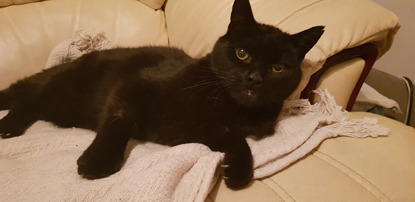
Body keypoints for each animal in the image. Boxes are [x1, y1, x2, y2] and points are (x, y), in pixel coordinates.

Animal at [0, 0, 324, 189]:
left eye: (278, 67)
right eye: (242, 53)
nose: (254, 78)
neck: (224, 103)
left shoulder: (192, 129)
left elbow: (234, 136)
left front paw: (239, 170)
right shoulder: (131, 88)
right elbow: (118, 122)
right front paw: (98, 162)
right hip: (58, 87)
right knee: (26, 95)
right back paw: (8, 126)